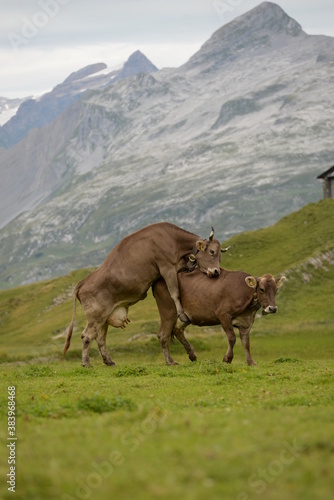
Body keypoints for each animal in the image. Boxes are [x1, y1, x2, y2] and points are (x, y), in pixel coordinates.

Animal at [62, 223, 222, 368]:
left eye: (220, 256)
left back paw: (109, 361)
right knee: (87, 336)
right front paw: (182, 314)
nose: (216, 272)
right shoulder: (167, 268)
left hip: (104, 317)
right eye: (212, 251)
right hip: (95, 316)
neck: (172, 239)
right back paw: (86, 363)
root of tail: (82, 283)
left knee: (100, 338)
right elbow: (174, 292)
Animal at [153, 268, 286, 366]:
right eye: (262, 289)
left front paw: (251, 362)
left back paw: (192, 355)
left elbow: (246, 342)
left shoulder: (246, 322)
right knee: (163, 335)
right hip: (168, 311)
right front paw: (227, 359)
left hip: (186, 316)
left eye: (276, 289)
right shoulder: (223, 314)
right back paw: (170, 361)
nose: (272, 308)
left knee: (178, 330)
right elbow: (232, 338)